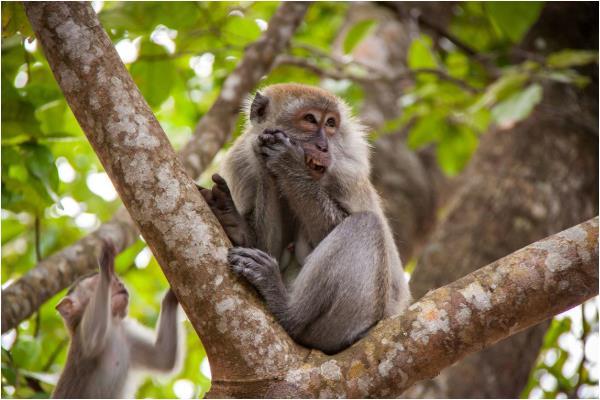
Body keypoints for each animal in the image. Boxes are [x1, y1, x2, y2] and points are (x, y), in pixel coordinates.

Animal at [53, 239, 180, 398]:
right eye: (96, 282)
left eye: (118, 280)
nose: (121, 284)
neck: (112, 324)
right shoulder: (81, 335)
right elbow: (93, 341)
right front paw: (105, 268)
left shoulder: (126, 335)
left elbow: (164, 357)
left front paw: (171, 296)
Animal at [199, 83, 410, 354]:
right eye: (310, 119)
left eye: (330, 123)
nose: (323, 147)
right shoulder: (240, 162)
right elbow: (268, 248)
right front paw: (234, 220)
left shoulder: (346, 171)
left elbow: (334, 226)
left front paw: (288, 163)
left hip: (353, 322)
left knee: (366, 225)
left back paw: (288, 312)